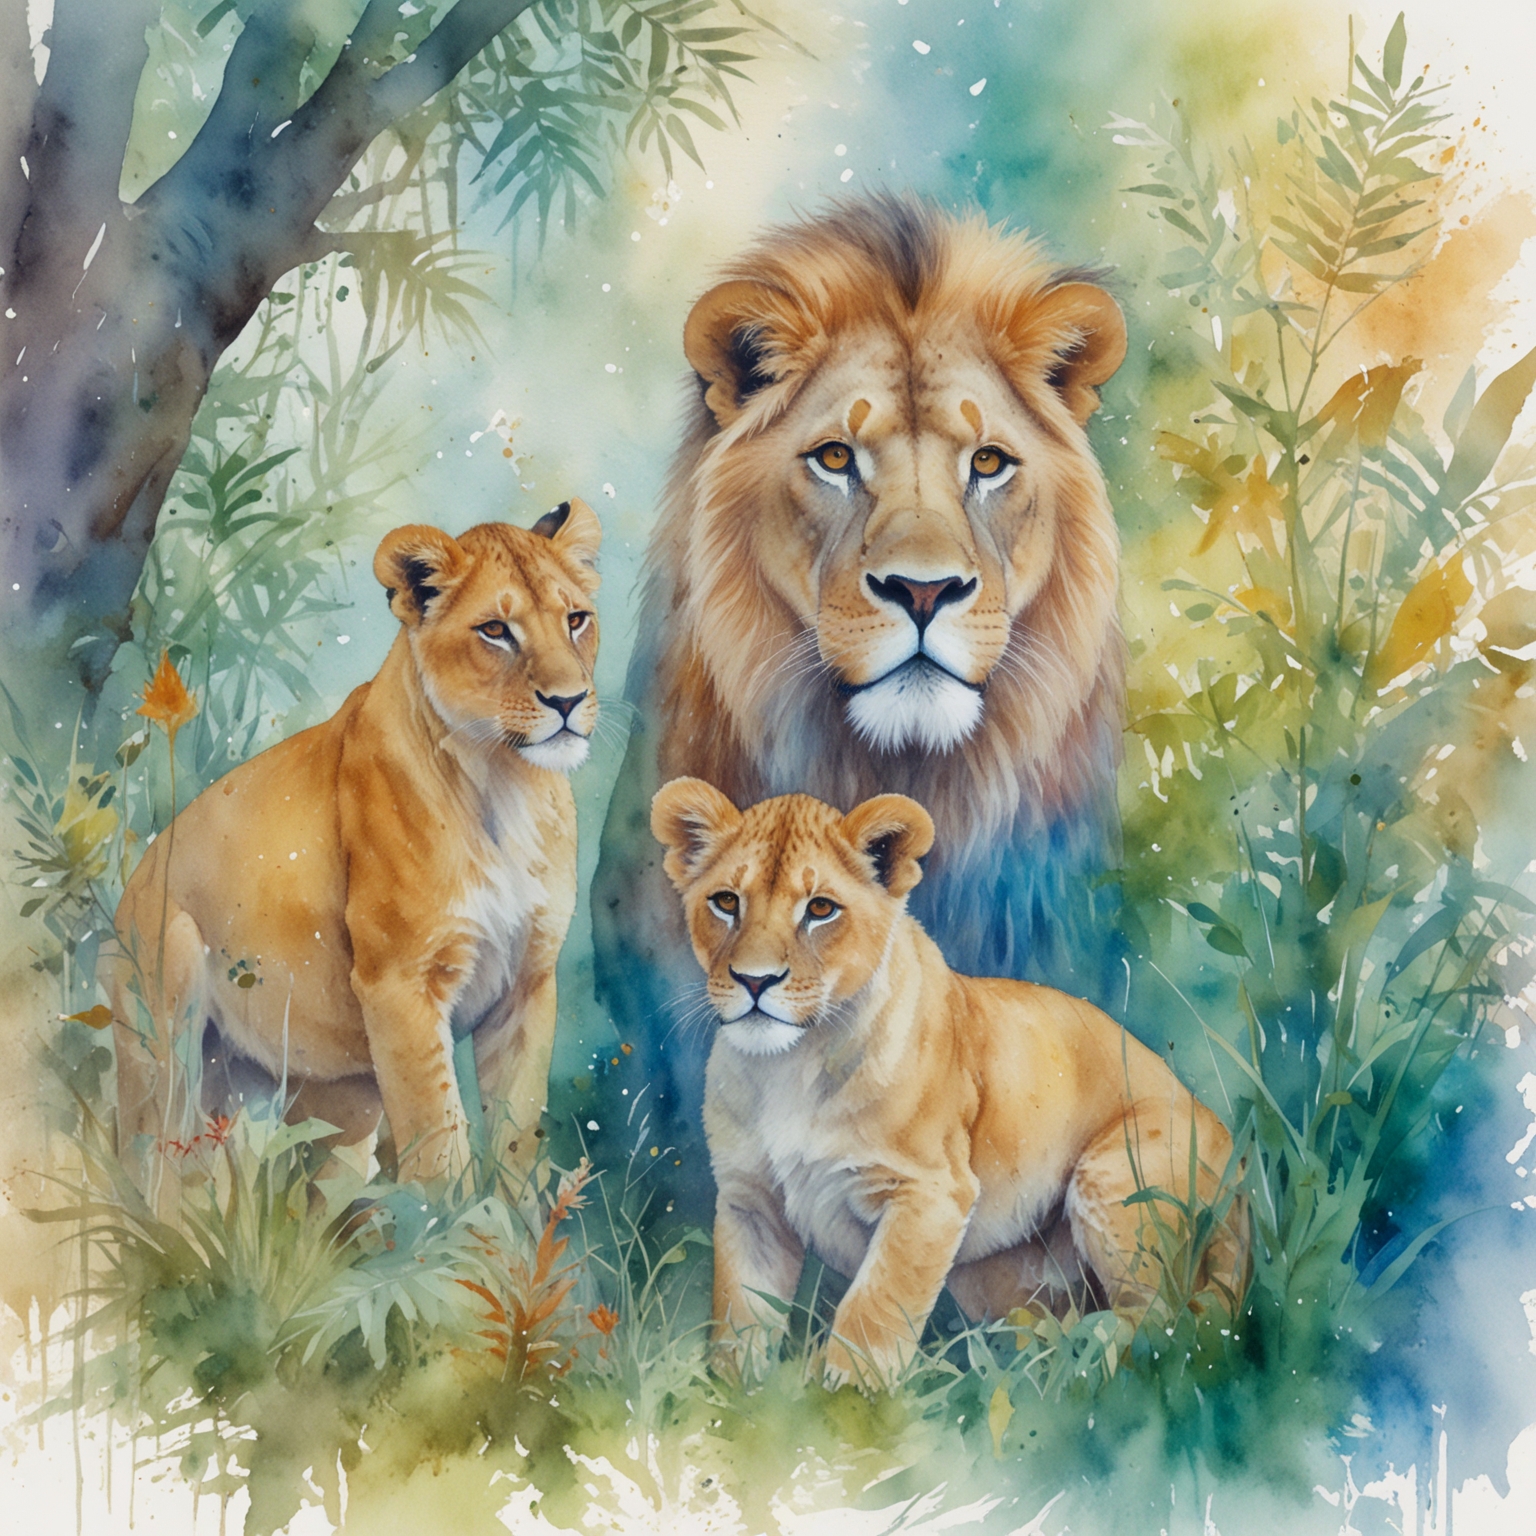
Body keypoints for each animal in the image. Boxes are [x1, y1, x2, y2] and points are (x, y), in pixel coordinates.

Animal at [105, 502, 602, 1214]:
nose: (567, 701)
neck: (506, 782)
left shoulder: (528, 984)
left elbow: (514, 1136)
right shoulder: (400, 984)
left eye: (576, 619)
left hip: (329, 1093)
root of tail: (127, 891)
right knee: (155, 1172)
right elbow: (438, 1144)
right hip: (164, 1030)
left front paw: (521, 1237)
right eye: (495, 631)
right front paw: (453, 1236)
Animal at [651, 778, 1246, 1389]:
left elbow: (873, 1307)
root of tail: (1235, 1154)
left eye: (820, 909)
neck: (789, 1065)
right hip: (998, 1279)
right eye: (726, 902)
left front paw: (846, 1398)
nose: (754, 981)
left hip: (1115, 1177)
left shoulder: (931, 1192)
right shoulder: (750, 1202)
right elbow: (739, 1315)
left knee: (1162, 1326)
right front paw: (735, 1396)